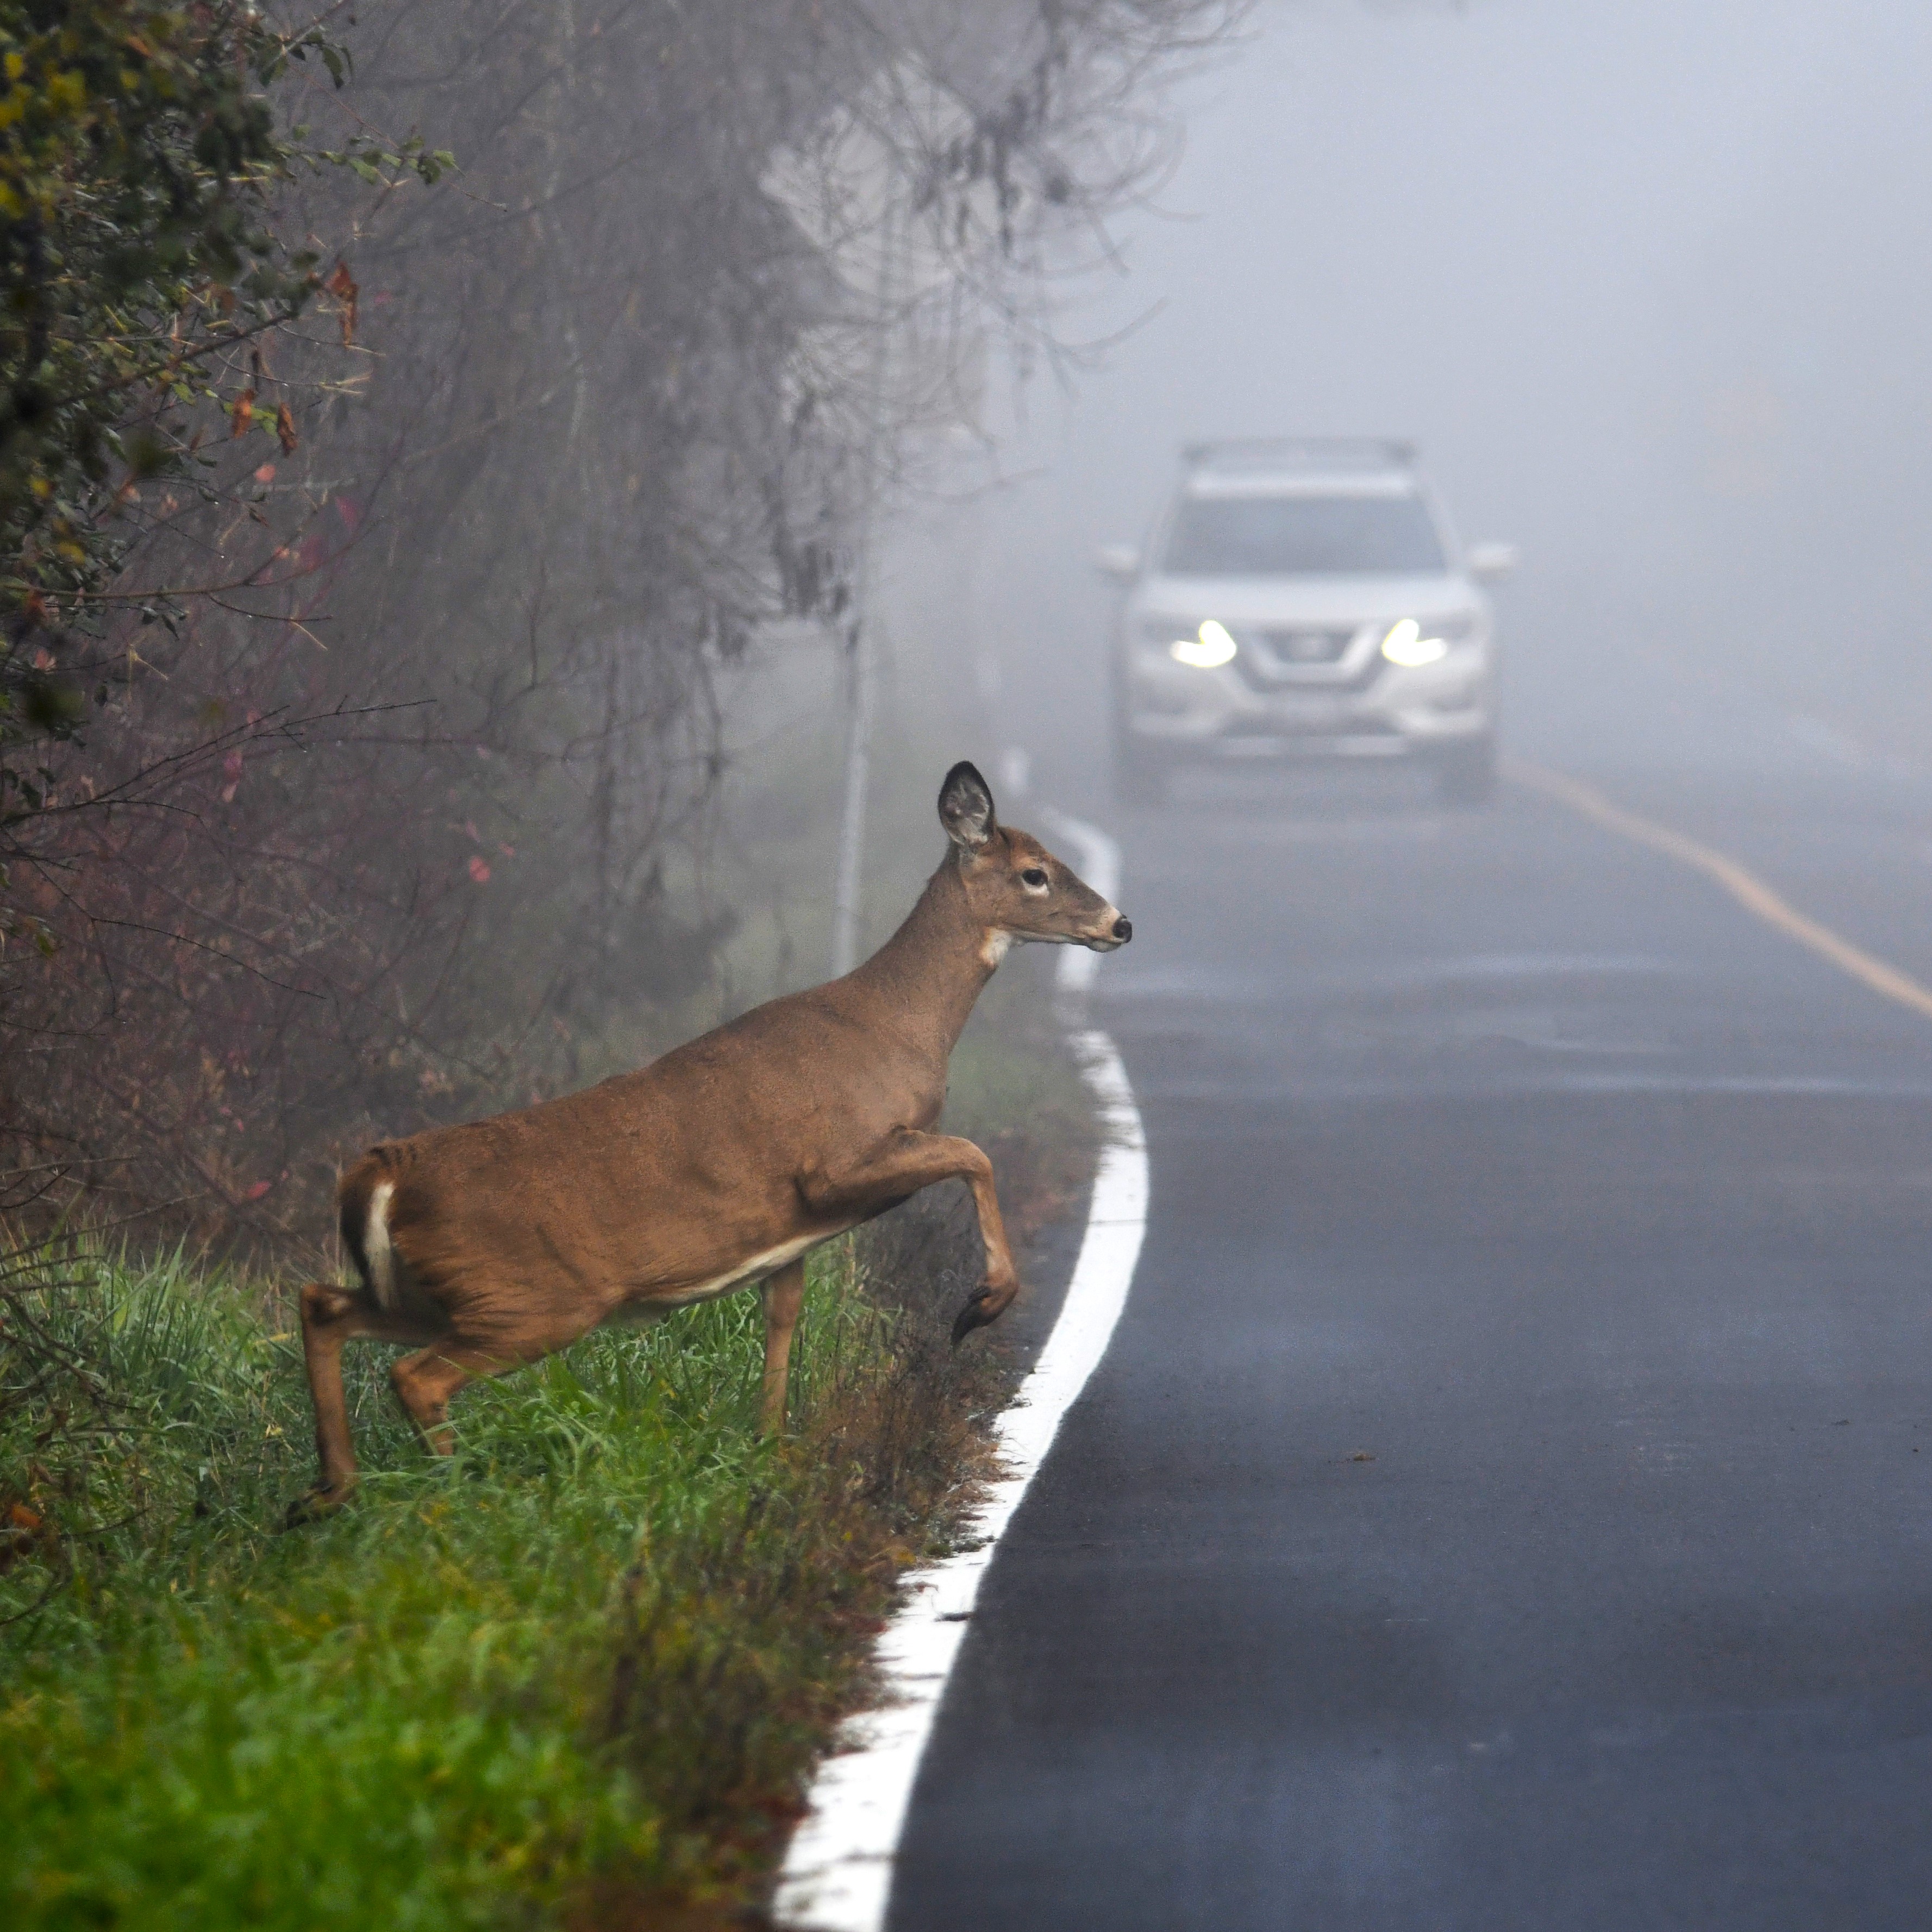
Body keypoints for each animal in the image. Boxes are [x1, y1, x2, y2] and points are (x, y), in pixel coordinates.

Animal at [287, 757, 1128, 1522]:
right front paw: (981, 1304)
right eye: (1034, 874)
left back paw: (328, 1493)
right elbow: (972, 1152)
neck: (898, 1028)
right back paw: (454, 1500)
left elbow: (782, 1330)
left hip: (441, 1292)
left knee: (325, 1304)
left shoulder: (790, 1238)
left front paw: (770, 1458)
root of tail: (381, 1174)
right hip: (533, 1297)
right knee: (415, 1375)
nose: (1119, 923)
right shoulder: (831, 1164)